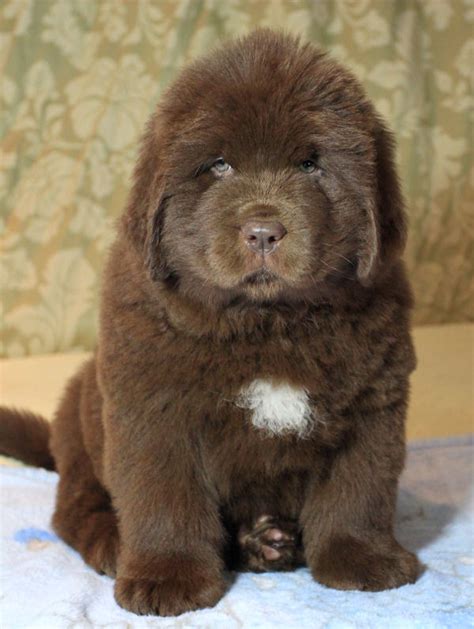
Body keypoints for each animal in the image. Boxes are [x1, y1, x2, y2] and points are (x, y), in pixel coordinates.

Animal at [1, 29, 420, 612]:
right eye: (219, 165)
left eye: (311, 165)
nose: (263, 231)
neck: (267, 324)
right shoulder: (154, 410)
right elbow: (166, 498)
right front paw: (168, 577)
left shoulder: (371, 403)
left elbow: (359, 489)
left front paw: (363, 560)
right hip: (82, 423)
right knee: (73, 507)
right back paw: (116, 543)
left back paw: (266, 542)